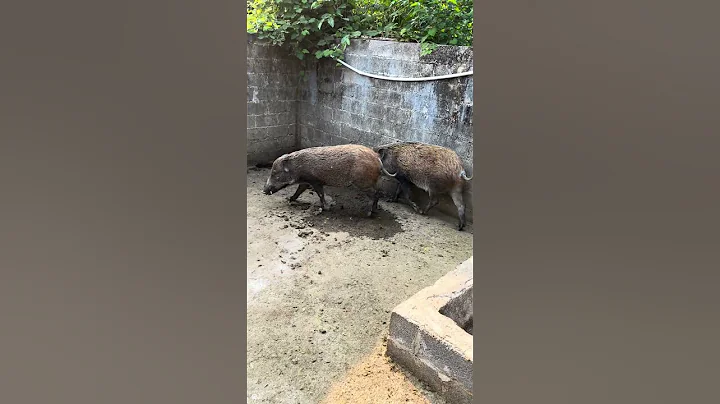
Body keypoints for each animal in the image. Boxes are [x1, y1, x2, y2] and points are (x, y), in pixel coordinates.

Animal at [262, 144, 396, 217]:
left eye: (275, 173)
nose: (264, 191)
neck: (297, 168)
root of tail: (377, 158)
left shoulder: (315, 181)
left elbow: (320, 194)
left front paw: (325, 208)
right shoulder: (306, 181)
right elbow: (299, 190)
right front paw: (289, 199)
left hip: (363, 183)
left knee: (374, 194)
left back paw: (367, 213)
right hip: (372, 182)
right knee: (377, 193)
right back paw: (375, 210)